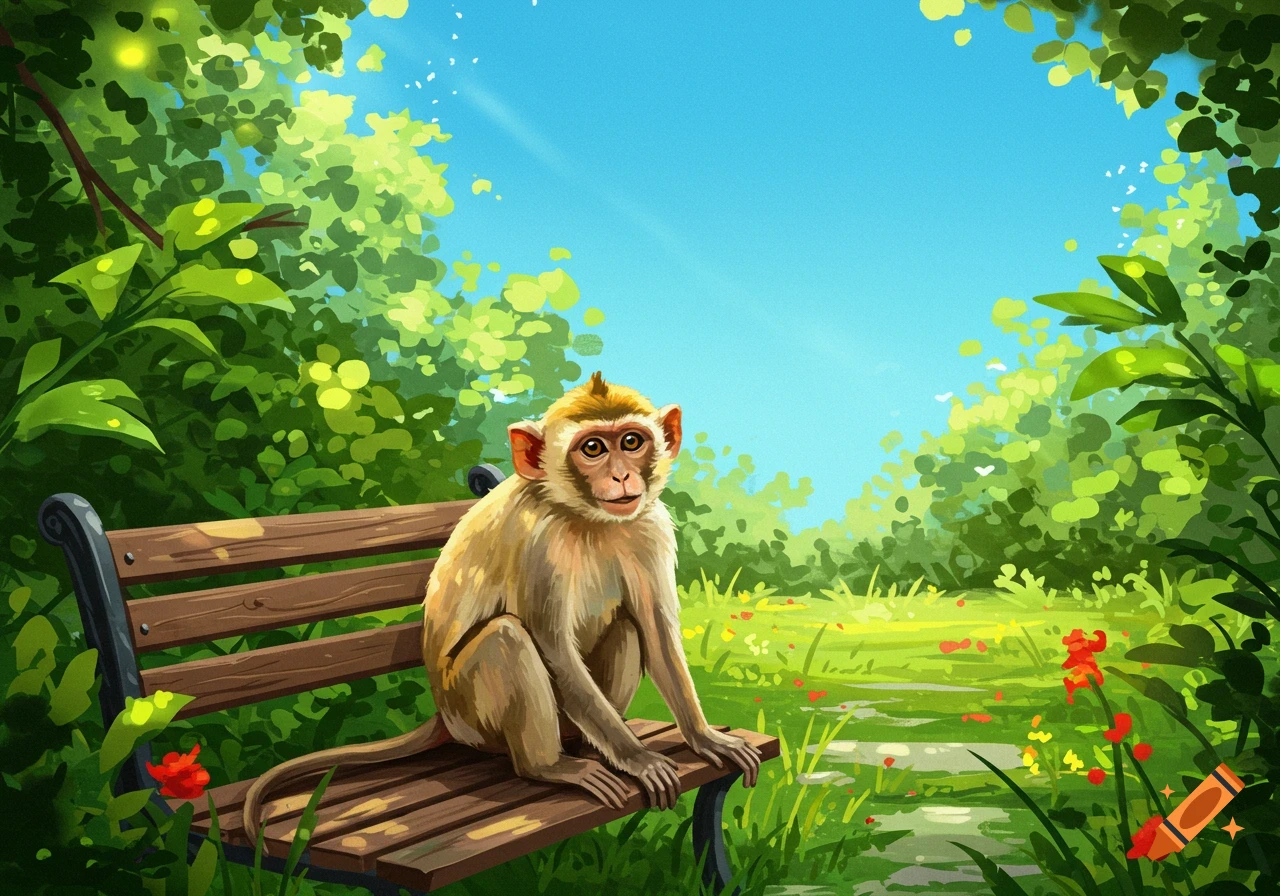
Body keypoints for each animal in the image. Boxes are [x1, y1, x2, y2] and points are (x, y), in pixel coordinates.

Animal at [242, 372, 760, 847]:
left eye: (631, 441)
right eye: (593, 448)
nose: (621, 476)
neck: (585, 518)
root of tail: (442, 715)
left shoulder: (648, 527)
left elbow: (654, 631)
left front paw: (703, 737)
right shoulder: (538, 541)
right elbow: (552, 647)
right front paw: (638, 758)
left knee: (624, 627)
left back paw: (585, 746)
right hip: (471, 713)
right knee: (507, 636)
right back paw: (547, 766)